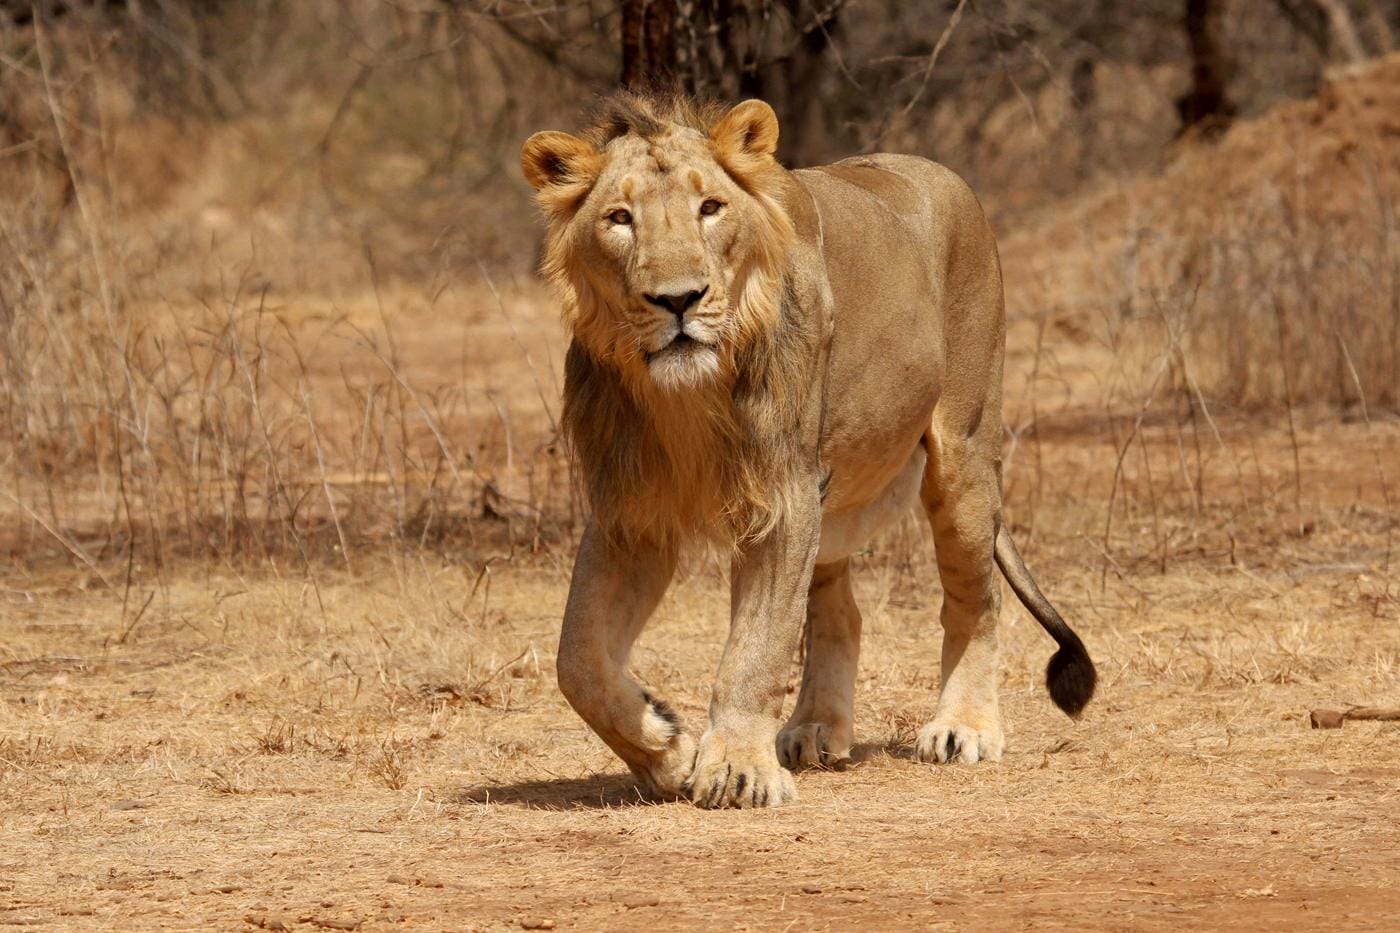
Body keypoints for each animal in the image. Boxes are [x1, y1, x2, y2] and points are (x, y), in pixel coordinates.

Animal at [520, 94, 1096, 809]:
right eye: (619, 219)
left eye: (710, 207)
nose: (679, 299)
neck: (685, 396)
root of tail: (942, 174)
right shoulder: (631, 512)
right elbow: (577, 661)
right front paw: (666, 748)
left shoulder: (784, 495)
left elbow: (756, 649)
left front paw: (737, 770)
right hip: (838, 492)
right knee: (839, 612)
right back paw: (815, 728)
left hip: (962, 455)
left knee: (975, 600)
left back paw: (962, 728)